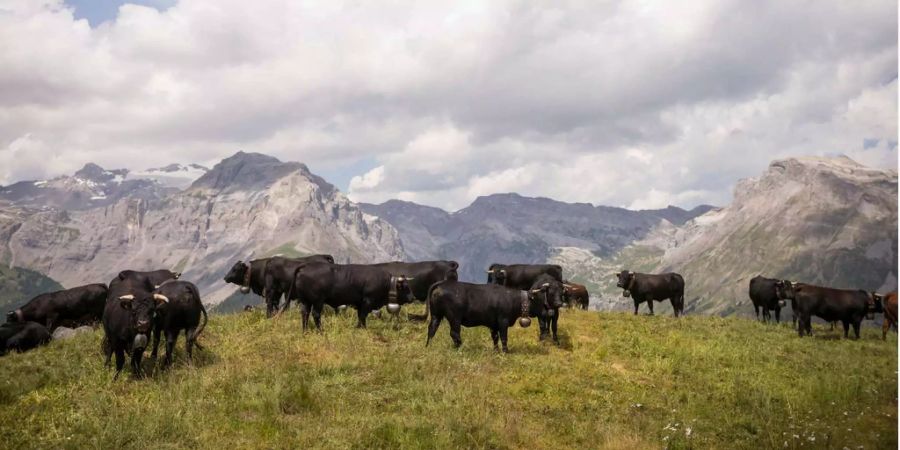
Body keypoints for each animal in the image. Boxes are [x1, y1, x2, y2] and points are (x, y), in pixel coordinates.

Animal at [424, 282, 556, 352]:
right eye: (540, 300)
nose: (549, 312)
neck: (513, 299)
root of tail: (442, 284)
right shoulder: (503, 321)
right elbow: (503, 337)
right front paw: (505, 351)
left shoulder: (494, 324)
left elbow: (495, 338)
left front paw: (496, 350)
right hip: (454, 317)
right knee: (454, 333)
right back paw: (460, 347)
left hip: (436, 315)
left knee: (432, 329)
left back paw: (428, 346)